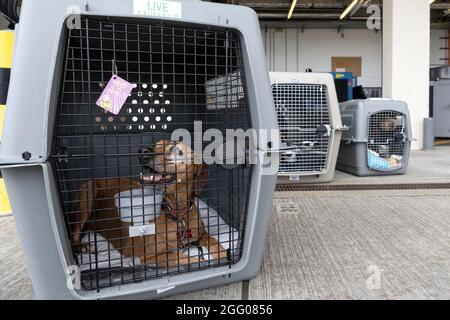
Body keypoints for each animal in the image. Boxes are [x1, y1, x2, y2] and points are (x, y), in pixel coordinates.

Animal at [72, 140, 230, 268]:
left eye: (175, 150)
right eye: (156, 144)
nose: (142, 151)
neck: (177, 212)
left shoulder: (202, 234)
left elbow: (216, 242)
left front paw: (225, 256)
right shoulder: (147, 256)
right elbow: (187, 259)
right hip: (89, 191)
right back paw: (83, 247)